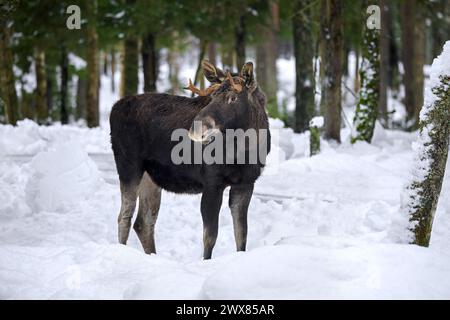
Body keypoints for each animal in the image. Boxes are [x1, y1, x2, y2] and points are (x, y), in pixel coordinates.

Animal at [110, 60, 270, 260]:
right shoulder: (212, 182)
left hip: (150, 177)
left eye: (233, 98)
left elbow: (241, 235)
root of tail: (114, 109)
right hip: (128, 165)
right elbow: (210, 236)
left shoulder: (246, 183)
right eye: (212, 97)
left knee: (143, 222)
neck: (245, 151)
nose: (196, 128)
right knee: (124, 216)